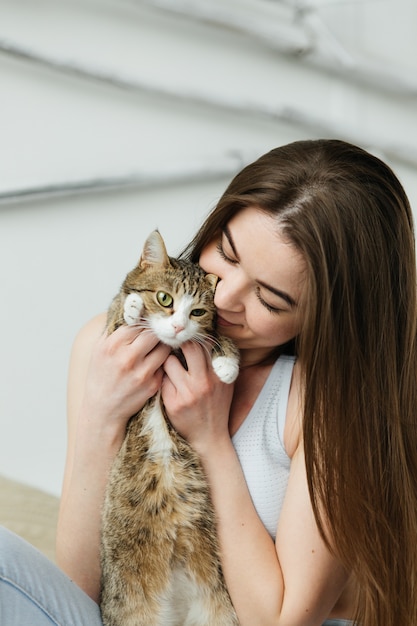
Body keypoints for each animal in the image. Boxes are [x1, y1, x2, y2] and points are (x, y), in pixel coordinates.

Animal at [98, 230, 239, 624]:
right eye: (164, 299)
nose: (177, 326)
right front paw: (132, 307)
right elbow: (118, 316)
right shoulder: (109, 337)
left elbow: (216, 337)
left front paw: (227, 365)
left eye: (197, 312)